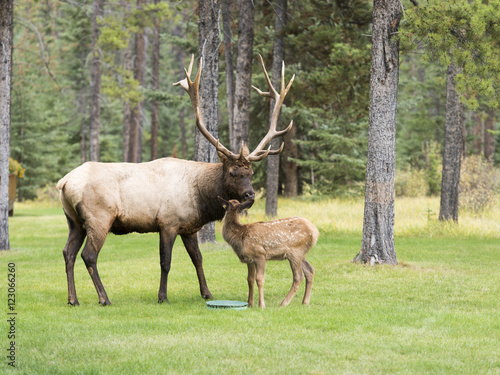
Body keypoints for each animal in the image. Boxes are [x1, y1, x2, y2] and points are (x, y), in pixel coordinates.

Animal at [57, 56, 294, 308]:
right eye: (232, 173)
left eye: (250, 172)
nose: (250, 195)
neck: (200, 198)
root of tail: (63, 182)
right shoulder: (167, 223)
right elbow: (166, 262)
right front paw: (162, 296)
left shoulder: (188, 228)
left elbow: (198, 259)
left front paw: (207, 293)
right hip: (99, 217)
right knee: (88, 255)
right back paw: (104, 298)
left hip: (74, 221)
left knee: (68, 252)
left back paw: (73, 299)